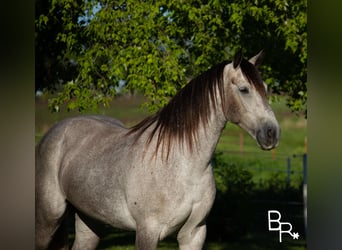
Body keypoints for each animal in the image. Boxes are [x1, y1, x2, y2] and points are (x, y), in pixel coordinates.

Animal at [35, 49, 280, 249]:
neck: (182, 165)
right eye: (244, 89)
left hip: (90, 220)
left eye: (266, 89)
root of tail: (55, 131)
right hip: (49, 217)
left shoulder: (194, 234)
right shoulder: (147, 231)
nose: (272, 133)